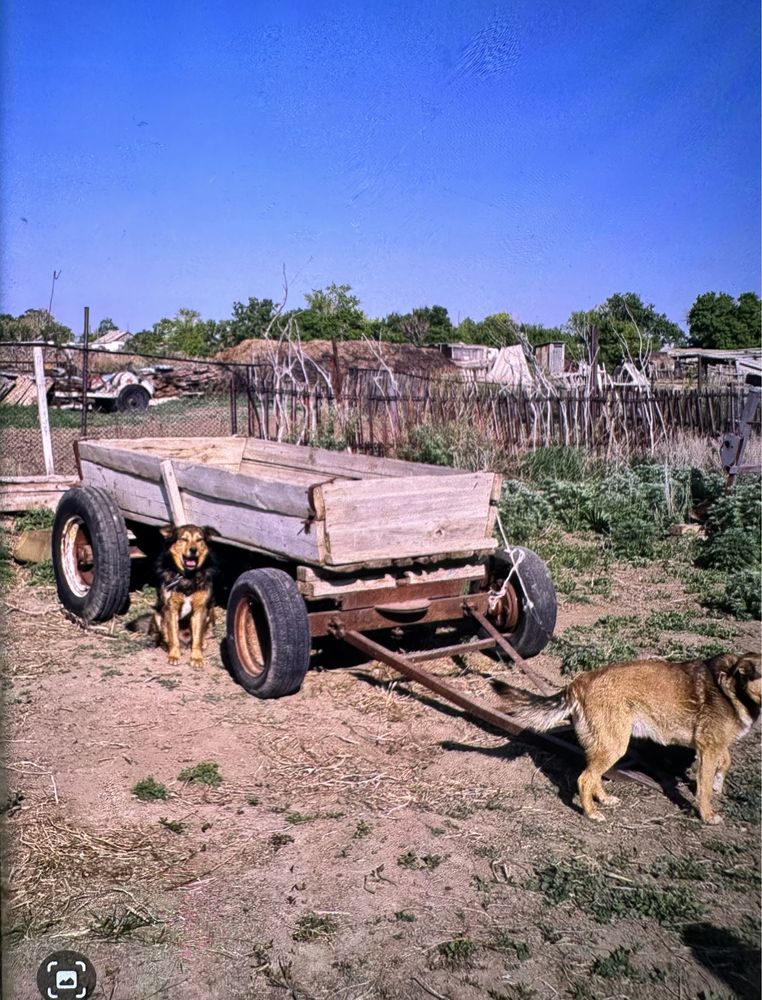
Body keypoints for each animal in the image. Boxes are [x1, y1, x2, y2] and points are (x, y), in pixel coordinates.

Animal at [149, 524, 218, 664]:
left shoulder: (200, 609)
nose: (193, 550)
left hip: (210, 613)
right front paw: (174, 655)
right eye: (183, 539)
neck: (188, 577)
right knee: (163, 636)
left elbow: (197, 638)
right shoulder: (171, 609)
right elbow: (173, 636)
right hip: (157, 615)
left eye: (199, 540)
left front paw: (197, 658)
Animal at [490, 652, 756, 824]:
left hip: (606, 744)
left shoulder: (713, 744)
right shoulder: (708, 748)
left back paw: (604, 799)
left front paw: (718, 782)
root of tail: (578, 682)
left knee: (593, 776)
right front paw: (707, 814)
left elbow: (726, 761)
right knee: (584, 779)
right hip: (614, 745)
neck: (730, 687)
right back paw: (591, 813)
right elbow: (704, 789)